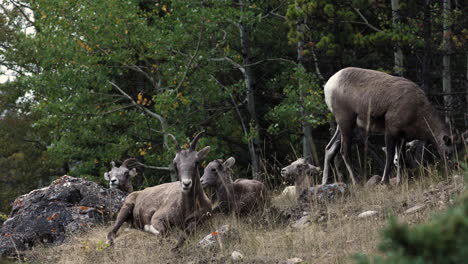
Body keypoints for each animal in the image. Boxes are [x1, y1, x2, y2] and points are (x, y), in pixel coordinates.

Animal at [322, 67, 454, 185]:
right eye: (448, 152)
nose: (451, 170)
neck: (418, 113)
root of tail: (328, 86)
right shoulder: (391, 131)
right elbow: (390, 156)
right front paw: (385, 182)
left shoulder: (402, 137)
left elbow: (400, 159)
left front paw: (400, 182)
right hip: (346, 122)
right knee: (344, 152)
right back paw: (356, 183)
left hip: (344, 126)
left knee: (329, 148)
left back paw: (325, 182)